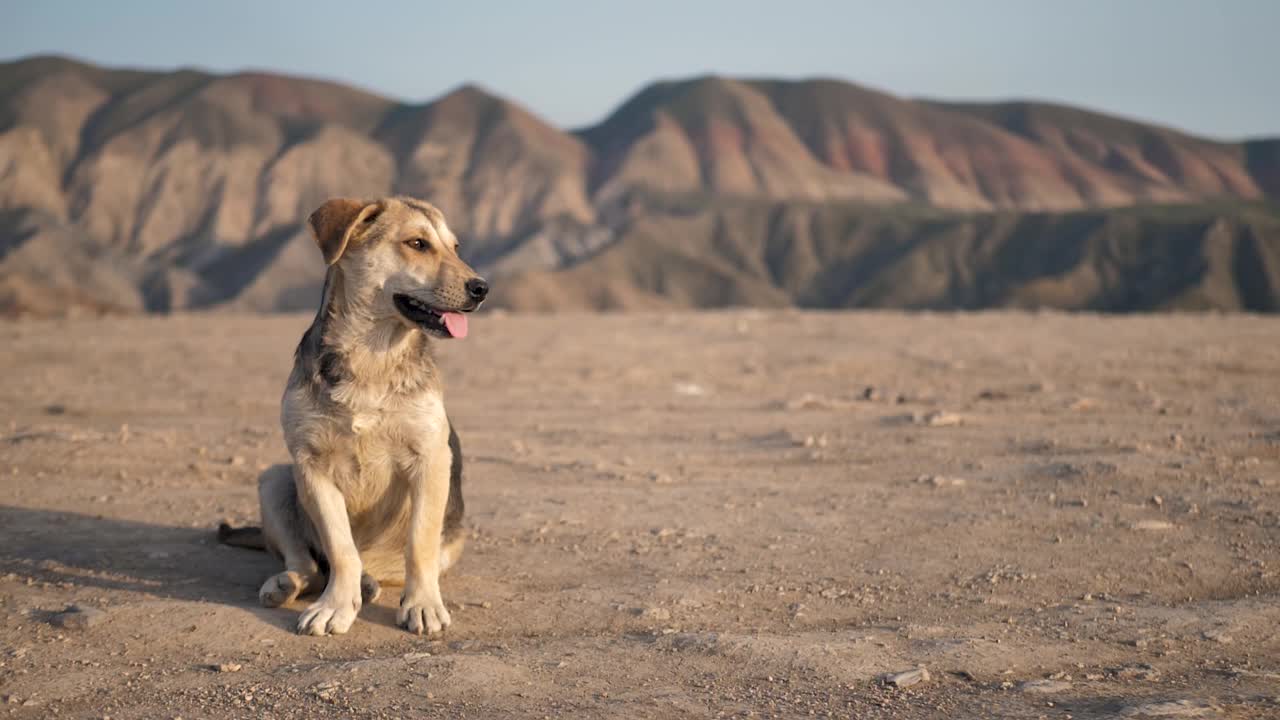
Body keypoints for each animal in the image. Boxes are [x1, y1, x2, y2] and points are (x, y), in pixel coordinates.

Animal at [217, 196, 486, 632]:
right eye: (417, 243)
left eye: (455, 247)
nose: (481, 288)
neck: (372, 356)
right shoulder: (311, 465)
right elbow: (340, 547)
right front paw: (335, 606)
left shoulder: (431, 459)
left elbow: (420, 543)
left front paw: (423, 605)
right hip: (274, 478)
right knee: (309, 565)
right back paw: (287, 584)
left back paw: (369, 584)